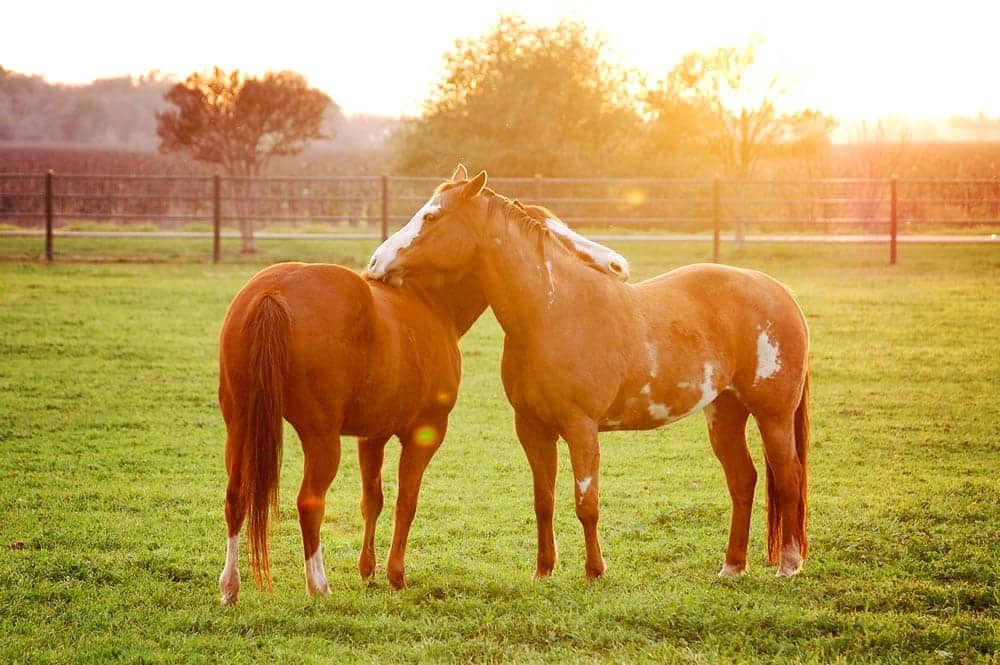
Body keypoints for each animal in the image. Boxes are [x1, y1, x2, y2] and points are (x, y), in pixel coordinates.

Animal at [217, 165, 629, 603]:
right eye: (553, 234)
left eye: (430, 216)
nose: (617, 266)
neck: (430, 302)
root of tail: (272, 292)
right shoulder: (424, 433)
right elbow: (407, 501)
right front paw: (395, 575)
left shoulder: (372, 436)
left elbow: (373, 501)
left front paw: (368, 571)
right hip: (320, 438)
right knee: (309, 503)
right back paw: (318, 585)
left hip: (240, 424)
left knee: (236, 496)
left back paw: (230, 586)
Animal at [367, 168, 811, 580]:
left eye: (431, 216)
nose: (374, 264)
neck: (552, 311)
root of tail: (779, 292)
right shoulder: (532, 429)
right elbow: (543, 501)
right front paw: (543, 570)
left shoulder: (581, 428)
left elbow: (586, 503)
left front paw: (595, 570)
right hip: (725, 413)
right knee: (743, 480)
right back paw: (732, 566)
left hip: (773, 416)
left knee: (789, 478)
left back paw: (788, 565)